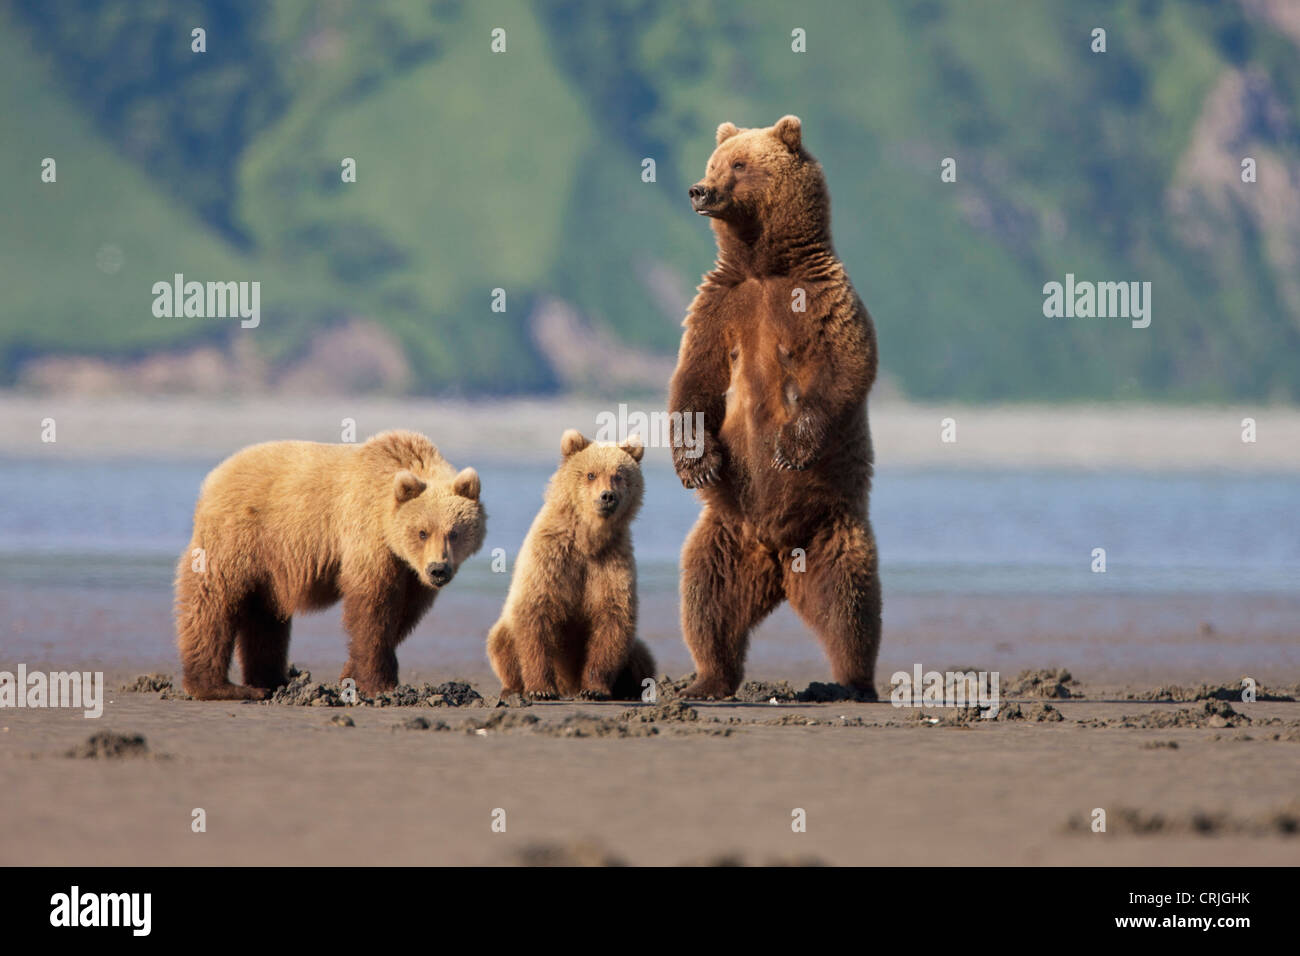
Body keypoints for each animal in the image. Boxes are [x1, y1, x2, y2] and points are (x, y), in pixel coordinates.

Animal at [175, 430, 486, 700]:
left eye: (454, 532)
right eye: (422, 532)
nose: (438, 569)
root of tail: (214, 476)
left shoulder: (410, 572)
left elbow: (403, 615)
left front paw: (353, 674)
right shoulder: (367, 538)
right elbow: (373, 609)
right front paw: (379, 684)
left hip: (269, 564)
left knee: (263, 615)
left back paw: (271, 680)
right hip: (238, 536)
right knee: (212, 601)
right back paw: (219, 686)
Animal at [486, 429, 655, 701]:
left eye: (618, 475)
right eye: (591, 474)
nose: (608, 496)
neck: (587, 540)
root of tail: (568, 685)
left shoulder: (609, 562)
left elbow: (612, 616)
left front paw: (594, 689)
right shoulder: (552, 559)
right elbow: (536, 613)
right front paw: (541, 689)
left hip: (634, 650)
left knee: (642, 656)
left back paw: (628, 690)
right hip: (504, 630)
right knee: (500, 642)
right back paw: (512, 688)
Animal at [667, 115, 881, 700]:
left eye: (739, 165)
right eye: (714, 161)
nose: (698, 189)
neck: (762, 266)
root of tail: (779, 562)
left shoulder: (821, 300)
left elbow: (845, 368)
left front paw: (790, 448)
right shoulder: (720, 305)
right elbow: (695, 379)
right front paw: (696, 463)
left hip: (832, 527)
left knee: (851, 606)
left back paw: (855, 681)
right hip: (725, 534)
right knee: (706, 600)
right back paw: (706, 680)